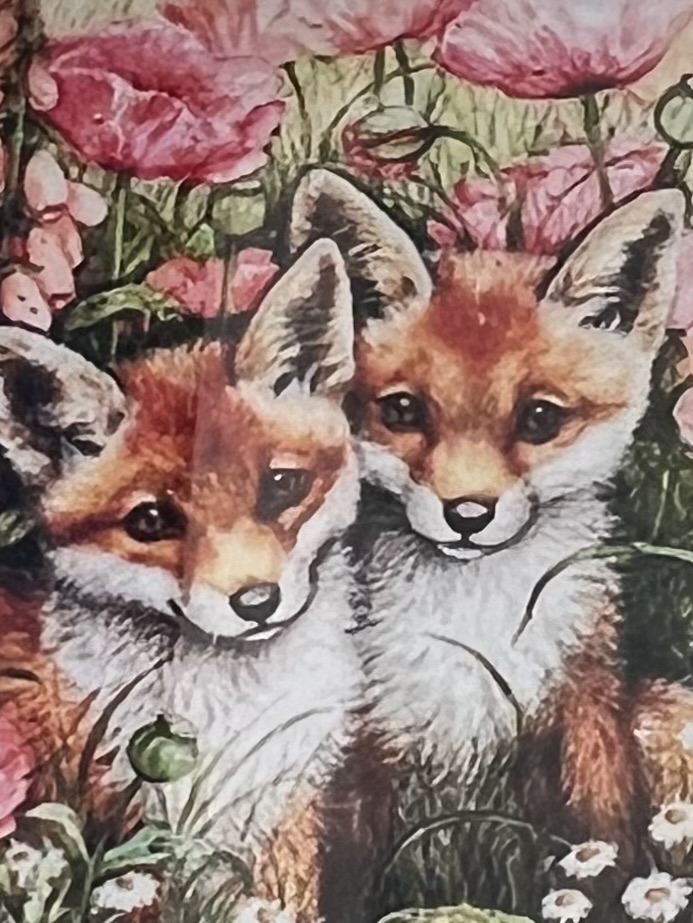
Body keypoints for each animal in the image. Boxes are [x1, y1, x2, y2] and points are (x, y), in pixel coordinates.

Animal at [290, 171, 693, 916]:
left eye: (538, 419)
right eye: (402, 411)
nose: (467, 514)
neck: (470, 631)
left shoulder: (582, 713)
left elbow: (605, 845)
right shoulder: (360, 750)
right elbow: (345, 882)